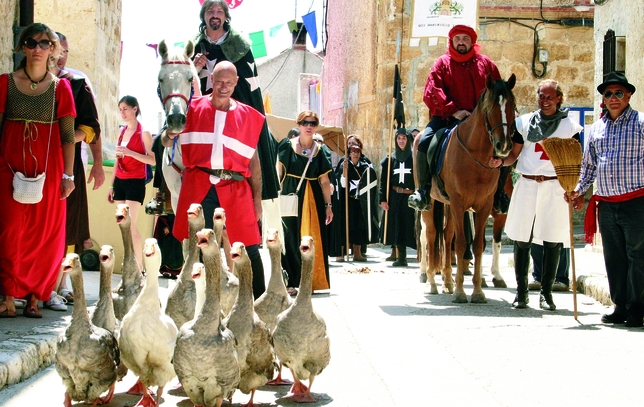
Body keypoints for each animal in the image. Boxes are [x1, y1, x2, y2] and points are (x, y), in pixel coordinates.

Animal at [420, 74, 516, 302]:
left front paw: (478, 291)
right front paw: (461, 292)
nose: (504, 146)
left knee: (446, 236)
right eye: (490, 107)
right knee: (431, 235)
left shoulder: (484, 206)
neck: (475, 155)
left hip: (450, 207)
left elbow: (480, 244)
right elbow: (463, 243)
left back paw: (447, 281)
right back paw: (432, 282)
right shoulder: (459, 204)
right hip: (433, 205)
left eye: (512, 106)